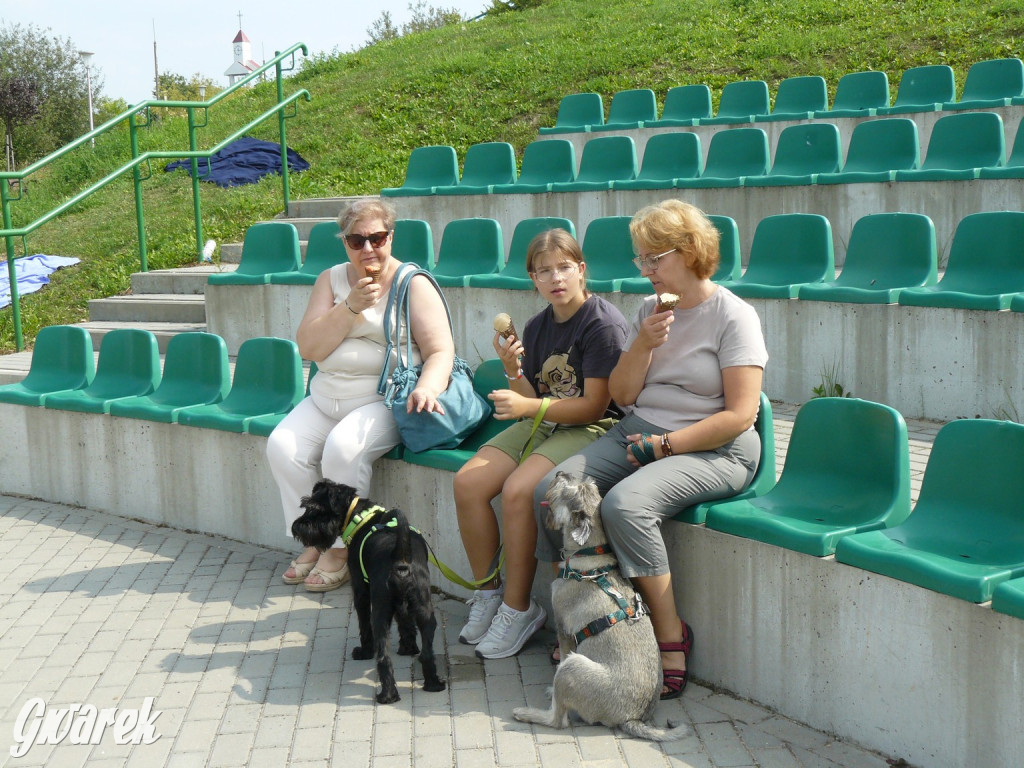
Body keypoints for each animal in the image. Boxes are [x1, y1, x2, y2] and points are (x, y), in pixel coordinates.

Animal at [290, 483, 446, 708]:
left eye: (316, 508)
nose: (296, 527)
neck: (360, 517)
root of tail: (401, 561)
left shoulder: (361, 590)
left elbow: (364, 626)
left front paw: (364, 651)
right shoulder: (403, 606)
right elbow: (405, 622)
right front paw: (408, 648)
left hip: (380, 613)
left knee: (383, 657)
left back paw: (387, 695)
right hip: (425, 611)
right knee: (427, 652)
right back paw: (433, 683)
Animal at [516, 473, 692, 741]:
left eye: (566, 490)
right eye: (587, 484)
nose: (560, 474)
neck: (590, 556)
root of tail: (632, 718)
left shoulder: (564, 631)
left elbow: (560, 659)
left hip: (573, 667)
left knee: (558, 719)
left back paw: (527, 712)